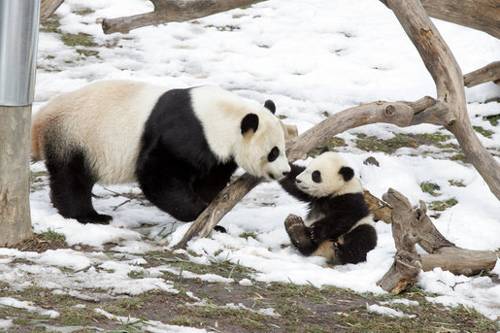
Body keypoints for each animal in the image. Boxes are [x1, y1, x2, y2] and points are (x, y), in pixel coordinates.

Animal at [32, 80, 290, 224]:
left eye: (283, 149)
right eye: (273, 152)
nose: (286, 172)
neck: (225, 115)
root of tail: (41, 119)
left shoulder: (214, 151)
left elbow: (210, 180)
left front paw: (209, 209)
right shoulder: (185, 133)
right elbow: (157, 176)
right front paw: (200, 214)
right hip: (77, 136)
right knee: (72, 178)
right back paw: (88, 216)